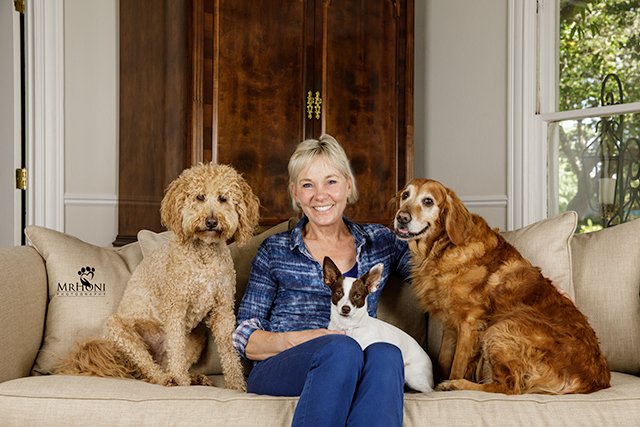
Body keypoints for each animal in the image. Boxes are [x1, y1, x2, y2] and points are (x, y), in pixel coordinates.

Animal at [324, 258, 436, 394]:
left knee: (430, 391)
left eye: (357, 295)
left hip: (413, 376)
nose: (346, 309)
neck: (348, 327)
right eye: (339, 293)